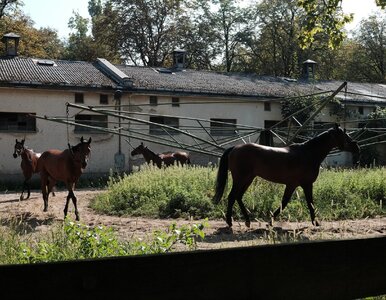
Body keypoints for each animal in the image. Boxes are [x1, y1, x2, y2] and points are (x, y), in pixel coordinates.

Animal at [213, 124, 360, 227]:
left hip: (248, 178)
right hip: (240, 178)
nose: (356, 147)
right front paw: (316, 222)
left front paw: (271, 221)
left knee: (238, 196)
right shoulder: (303, 184)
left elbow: (289, 202)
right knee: (232, 196)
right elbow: (305, 203)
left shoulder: (295, 185)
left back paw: (247, 221)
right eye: (344, 135)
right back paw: (230, 222)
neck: (308, 153)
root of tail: (235, 148)